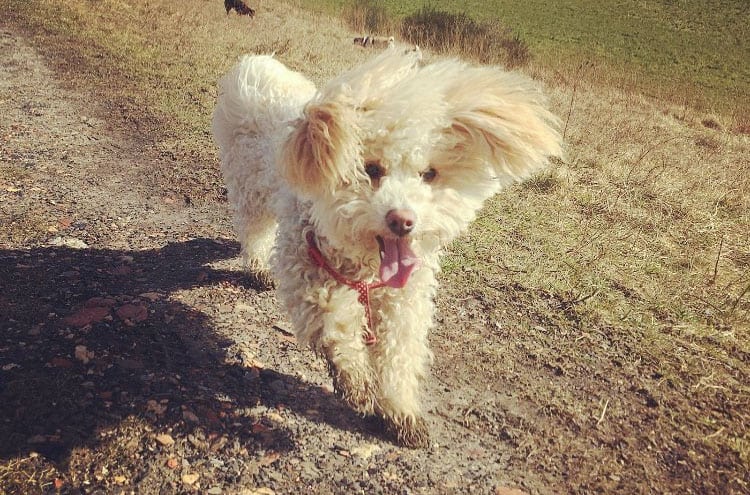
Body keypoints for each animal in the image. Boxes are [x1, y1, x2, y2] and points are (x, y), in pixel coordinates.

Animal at [212, 48, 564, 448]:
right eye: (371, 169)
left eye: (428, 174)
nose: (403, 220)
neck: (366, 266)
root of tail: (258, 63)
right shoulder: (309, 272)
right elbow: (336, 327)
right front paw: (357, 382)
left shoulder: (403, 301)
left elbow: (399, 354)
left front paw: (401, 411)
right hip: (249, 184)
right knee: (253, 227)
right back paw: (256, 265)